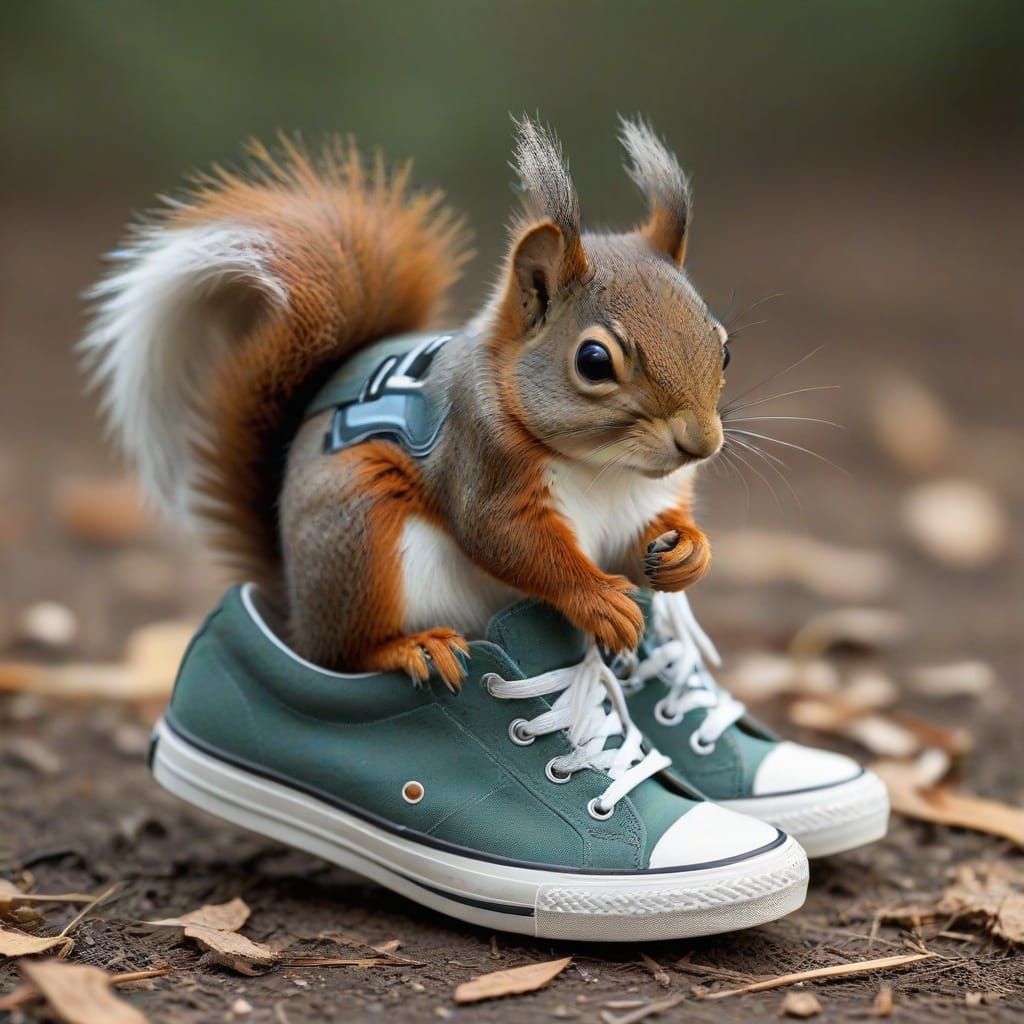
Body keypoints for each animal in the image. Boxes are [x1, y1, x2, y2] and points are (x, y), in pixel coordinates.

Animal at [82, 118, 729, 688]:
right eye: (593, 362)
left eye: (722, 347)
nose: (702, 444)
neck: (608, 471)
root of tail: (296, 608)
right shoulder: (483, 463)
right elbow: (514, 544)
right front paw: (598, 600)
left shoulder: (646, 504)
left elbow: (653, 536)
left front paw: (691, 554)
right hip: (363, 530)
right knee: (346, 654)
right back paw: (411, 647)